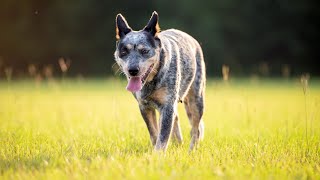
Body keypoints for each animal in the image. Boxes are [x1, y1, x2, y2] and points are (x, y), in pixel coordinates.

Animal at [114, 11, 206, 151]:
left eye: (144, 51)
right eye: (124, 51)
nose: (132, 70)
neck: (151, 82)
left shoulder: (167, 105)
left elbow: (162, 137)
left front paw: (158, 155)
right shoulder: (144, 106)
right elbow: (154, 134)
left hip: (195, 99)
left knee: (196, 129)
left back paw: (192, 150)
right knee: (177, 120)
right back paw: (178, 144)